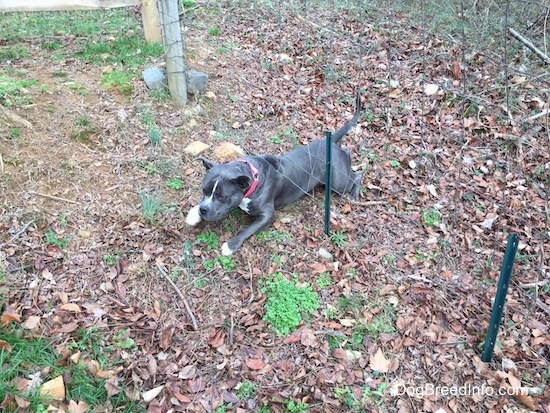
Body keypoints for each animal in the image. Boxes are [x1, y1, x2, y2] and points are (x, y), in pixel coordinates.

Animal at [188, 92, 364, 254]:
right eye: (204, 190)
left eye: (222, 197)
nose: (203, 209)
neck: (251, 177)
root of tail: (331, 141)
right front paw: (193, 214)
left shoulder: (267, 215)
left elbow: (247, 229)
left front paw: (231, 245)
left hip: (338, 183)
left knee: (357, 174)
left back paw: (354, 194)